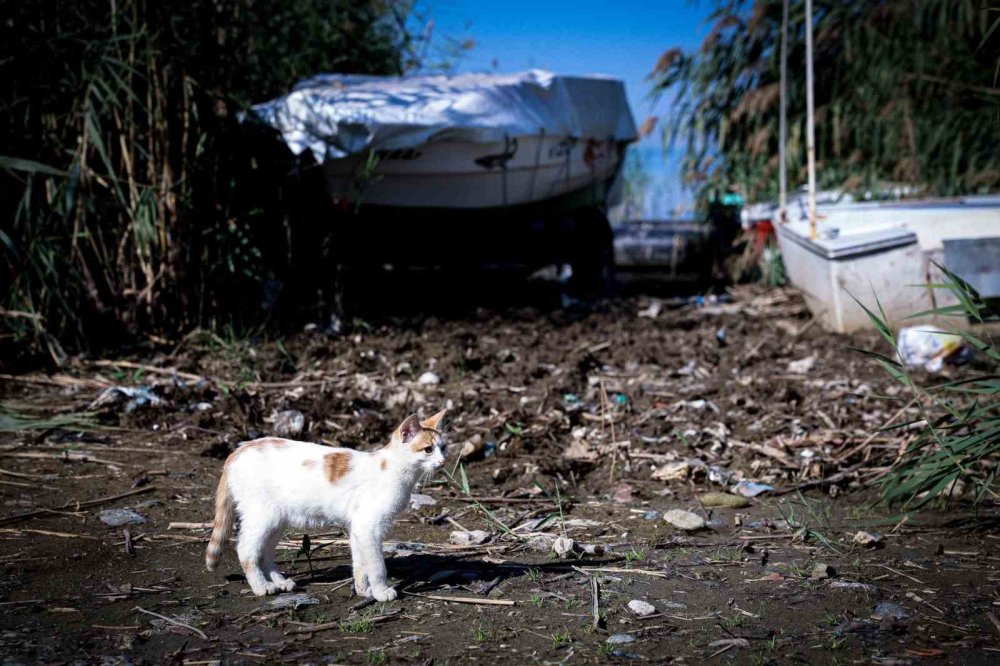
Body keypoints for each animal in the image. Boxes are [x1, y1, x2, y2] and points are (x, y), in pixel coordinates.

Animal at [205, 408, 448, 600]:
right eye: (428, 449)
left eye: (443, 448)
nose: (443, 462)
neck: (393, 470)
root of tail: (239, 449)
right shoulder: (368, 527)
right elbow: (377, 566)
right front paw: (381, 592)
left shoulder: (358, 529)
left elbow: (360, 564)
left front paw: (363, 590)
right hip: (262, 517)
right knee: (246, 551)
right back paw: (261, 586)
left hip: (276, 522)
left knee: (264, 553)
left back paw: (279, 581)